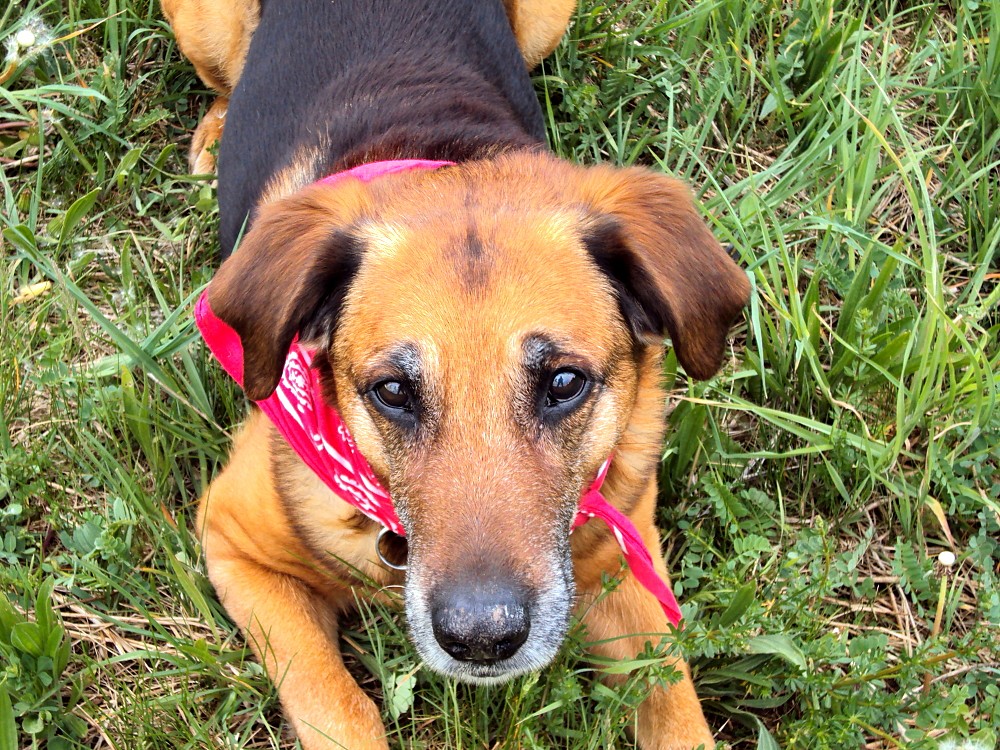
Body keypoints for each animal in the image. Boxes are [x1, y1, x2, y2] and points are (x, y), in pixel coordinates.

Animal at [166, 0, 752, 748]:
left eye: (564, 383)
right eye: (392, 391)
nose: (481, 640)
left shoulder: (623, 561)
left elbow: (673, 703)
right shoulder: (235, 544)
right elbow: (338, 703)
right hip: (202, 26)